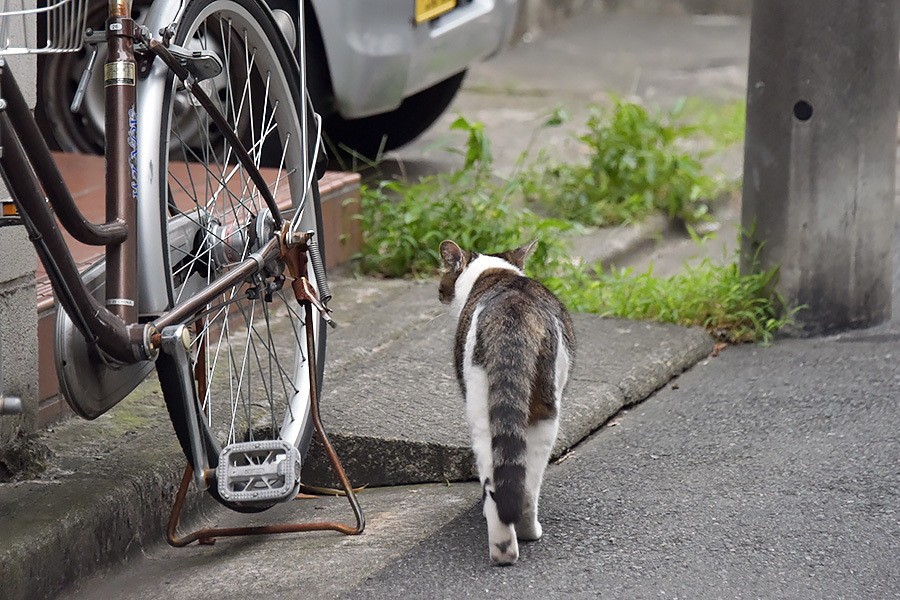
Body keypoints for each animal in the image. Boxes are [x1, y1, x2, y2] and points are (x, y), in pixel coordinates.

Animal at [438, 240, 576, 568]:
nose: (441, 294)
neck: (495, 273)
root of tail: (513, 312)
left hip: (488, 405)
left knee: (500, 480)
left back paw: (504, 545)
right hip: (544, 408)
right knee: (524, 483)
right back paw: (520, 537)